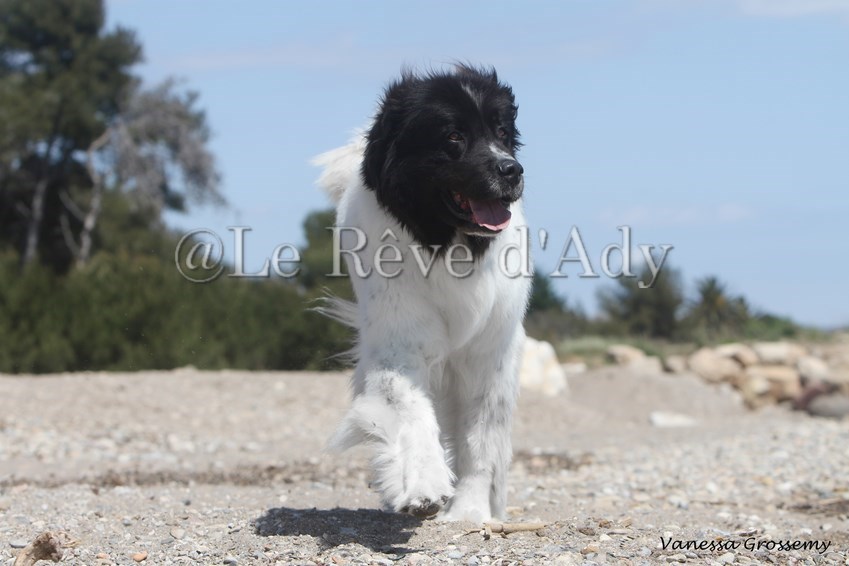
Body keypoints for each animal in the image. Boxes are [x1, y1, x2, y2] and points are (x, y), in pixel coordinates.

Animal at [313, 65, 531, 522]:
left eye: (502, 132)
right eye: (453, 136)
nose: (512, 169)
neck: (447, 245)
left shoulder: (489, 357)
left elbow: (479, 441)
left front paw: (470, 511)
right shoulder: (400, 345)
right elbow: (411, 413)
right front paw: (423, 485)